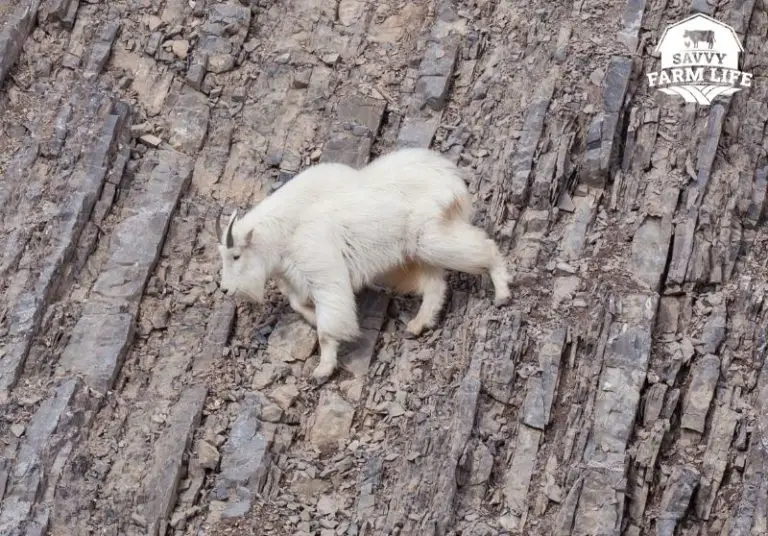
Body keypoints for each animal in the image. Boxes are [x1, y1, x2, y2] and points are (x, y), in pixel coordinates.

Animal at [216, 147, 511, 384]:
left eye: (236, 256)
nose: (225, 290)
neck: (281, 233)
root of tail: (450, 177)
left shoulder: (323, 269)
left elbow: (328, 324)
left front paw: (323, 369)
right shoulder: (297, 278)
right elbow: (298, 304)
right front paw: (313, 320)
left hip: (430, 239)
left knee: (484, 248)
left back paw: (502, 294)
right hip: (413, 255)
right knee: (434, 284)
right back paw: (419, 324)